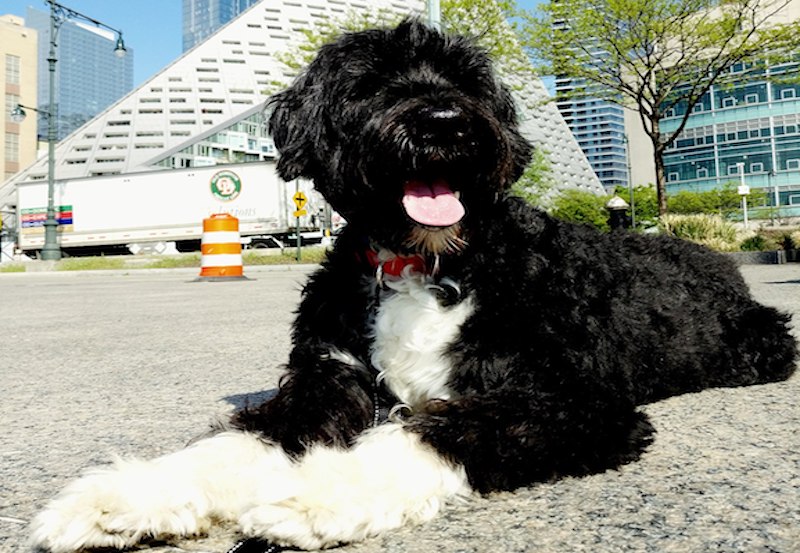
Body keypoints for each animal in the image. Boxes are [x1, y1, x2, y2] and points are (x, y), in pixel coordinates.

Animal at [29, 19, 792, 548]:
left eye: (468, 84)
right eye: (370, 83)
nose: (445, 122)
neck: (424, 264)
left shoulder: (572, 399)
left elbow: (440, 430)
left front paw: (318, 492)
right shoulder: (326, 380)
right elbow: (241, 440)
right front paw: (129, 494)